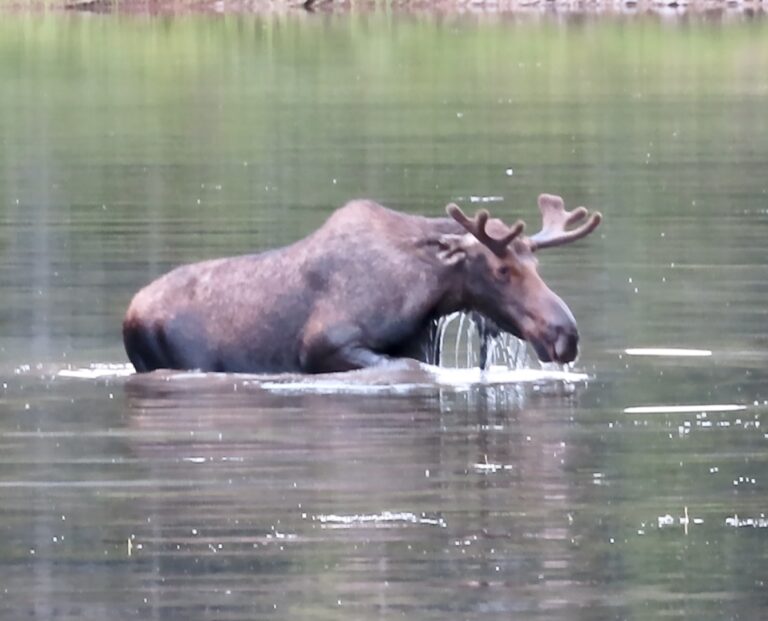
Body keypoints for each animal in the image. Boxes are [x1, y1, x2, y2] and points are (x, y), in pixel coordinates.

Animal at [123, 195, 600, 372]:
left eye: (535, 264)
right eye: (501, 270)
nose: (565, 333)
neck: (427, 293)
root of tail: (128, 313)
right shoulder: (323, 345)